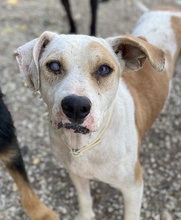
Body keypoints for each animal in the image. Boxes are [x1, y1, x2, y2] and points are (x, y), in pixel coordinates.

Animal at [14, 6, 180, 220]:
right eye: (54, 66)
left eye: (104, 69)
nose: (76, 106)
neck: (85, 144)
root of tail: (168, 8)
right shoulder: (76, 174)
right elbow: (85, 200)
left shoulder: (133, 188)